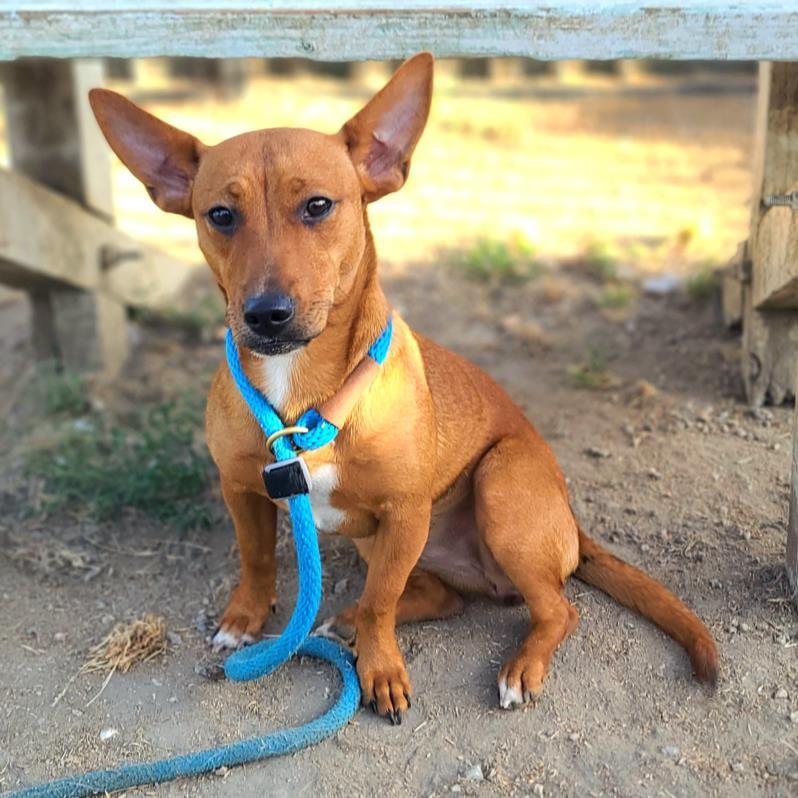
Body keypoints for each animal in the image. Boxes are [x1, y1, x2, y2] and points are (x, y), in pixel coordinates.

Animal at [90, 50, 720, 724]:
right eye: (220, 216)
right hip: (389, 543)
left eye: (318, 206)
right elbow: (257, 561)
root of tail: (572, 527)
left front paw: (381, 669)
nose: (266, 314)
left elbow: (382, 604)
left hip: (499, 488)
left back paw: (519, 667)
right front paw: (245, 619)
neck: (303, 400)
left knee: (557, 608)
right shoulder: (242, 490)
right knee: (442, 600)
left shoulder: (403, 514)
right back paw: (347, 620)